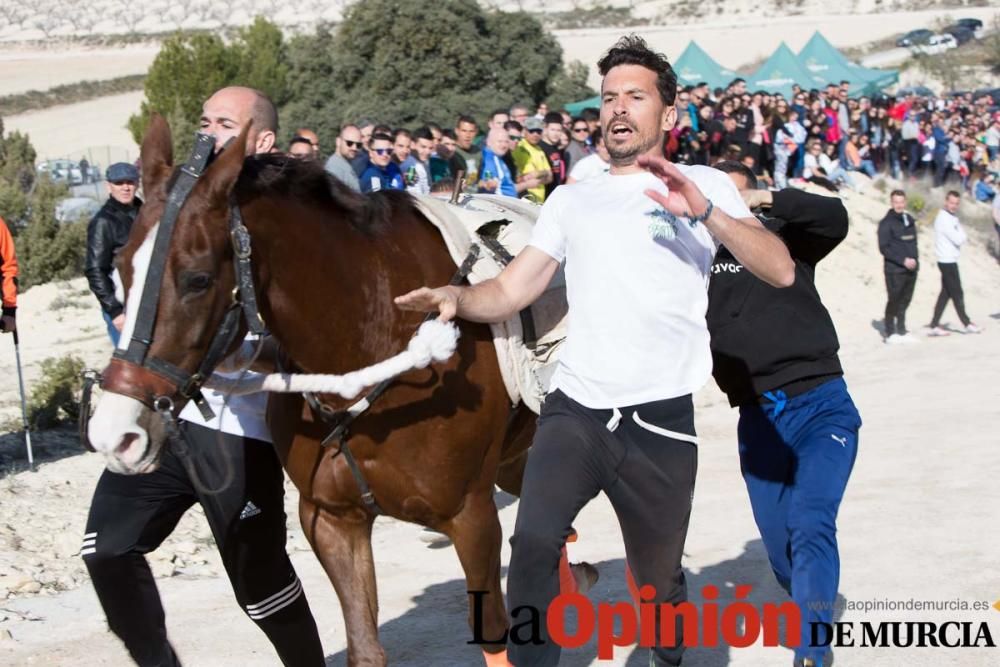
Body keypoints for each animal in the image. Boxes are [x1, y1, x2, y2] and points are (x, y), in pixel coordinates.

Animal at [88, 117, 548, 664]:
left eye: (197, 278)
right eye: (121, 265)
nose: (115, 433)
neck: (377, 327)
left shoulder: (471, 517)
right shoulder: (331, 519)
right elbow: (363, 646)